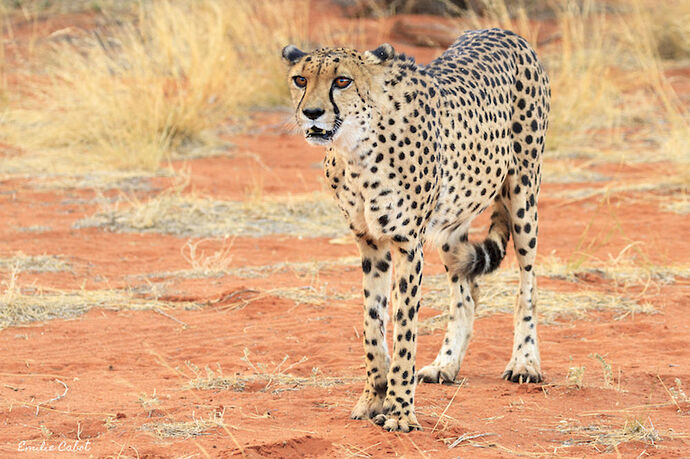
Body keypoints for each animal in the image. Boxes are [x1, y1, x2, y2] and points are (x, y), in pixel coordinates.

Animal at [280, 27, 548, 432]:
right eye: (300, 80)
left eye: (342, 81)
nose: (311, 113)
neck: (356, 150)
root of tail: (501, 31)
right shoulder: (370, 244)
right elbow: (373, 325)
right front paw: (374, 397)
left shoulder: (407, 244)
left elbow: (405, 329)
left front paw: (400, 411)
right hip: (453, 225)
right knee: (467, 292)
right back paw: (446, 364)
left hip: (523, 194)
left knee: (527, 286)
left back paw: (525, 362)